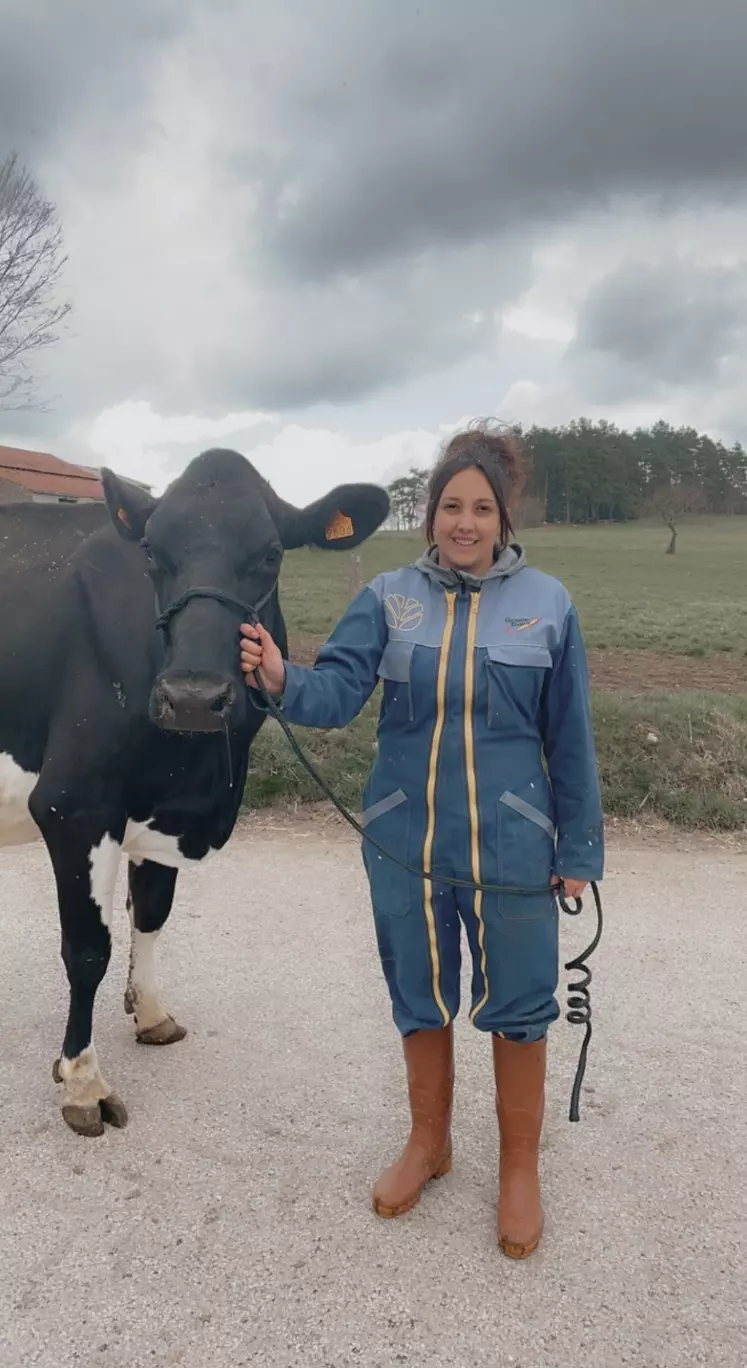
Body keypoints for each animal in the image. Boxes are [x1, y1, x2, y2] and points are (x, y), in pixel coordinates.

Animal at [0, 448, 383, 1132]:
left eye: (271, 553)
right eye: (151, 550)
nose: (194, 698)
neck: (196, 772)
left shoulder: (170, 811)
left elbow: (152, 912)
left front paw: (151, 1014)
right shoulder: (74, 805)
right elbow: (87, 949)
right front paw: (82, 1081)